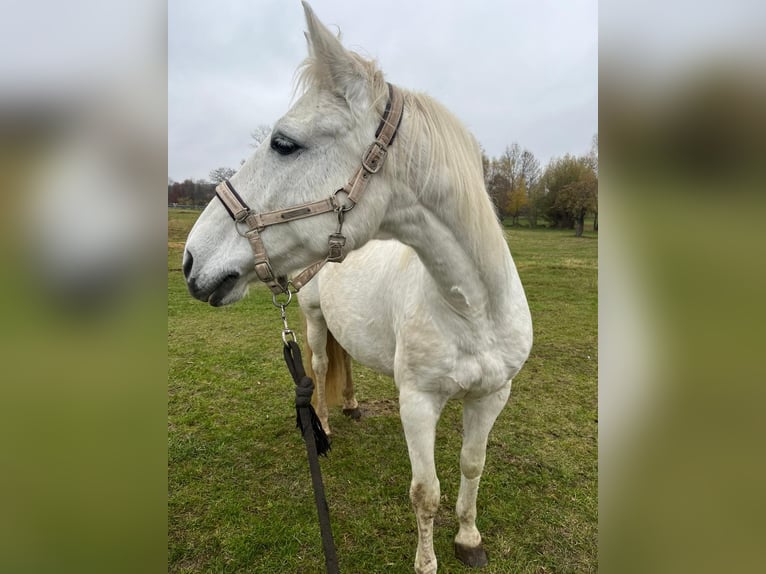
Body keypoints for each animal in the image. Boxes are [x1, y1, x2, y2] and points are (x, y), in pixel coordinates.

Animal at [183, 3, 532, 573]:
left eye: (283, 143)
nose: (192, 260)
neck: (473, 307)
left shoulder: (492, 396)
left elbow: (472, 467)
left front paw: (469, 539)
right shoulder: (418, 402)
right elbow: (425, 492)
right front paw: (426, 562)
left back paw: (348, 407)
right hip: (312, 322)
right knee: (322, 367)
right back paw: (324, 425)